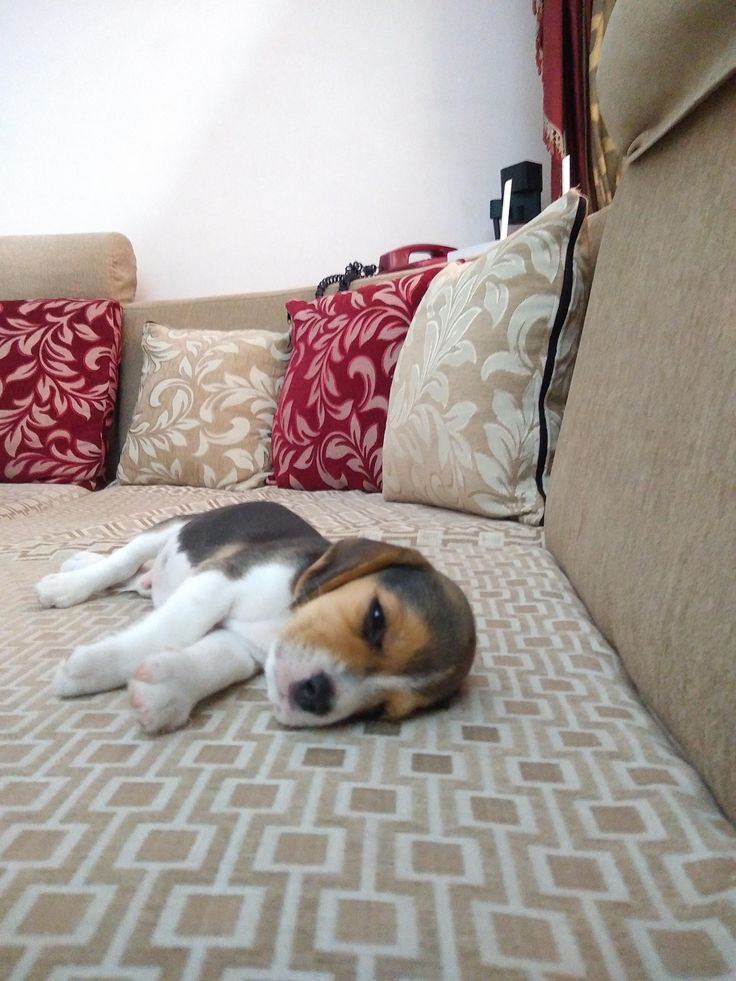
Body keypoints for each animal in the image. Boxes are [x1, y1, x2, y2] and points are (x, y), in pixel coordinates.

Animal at [34, 502, 474, 732]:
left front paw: (167, 690)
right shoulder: (221, 580)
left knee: (131, 578)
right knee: (118, 563)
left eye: (380, 710)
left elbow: (213, 663)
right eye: (376, 619)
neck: (286, 613)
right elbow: (174, 628)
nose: (317, 694)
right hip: (170, 531)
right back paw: (68, 581)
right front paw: (93, 668)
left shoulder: (241, 646)